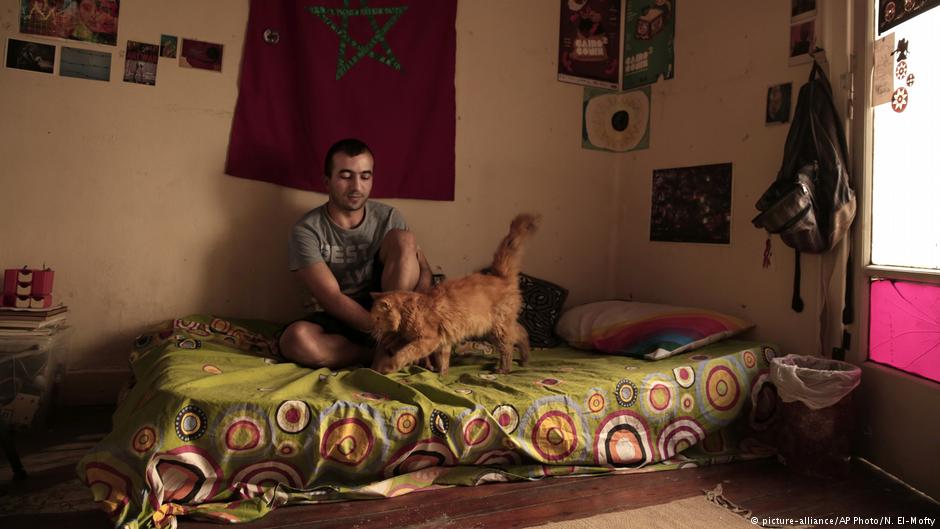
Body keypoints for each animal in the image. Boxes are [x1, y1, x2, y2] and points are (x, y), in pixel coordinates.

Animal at [370, 212, 540, 374]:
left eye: (377, 318)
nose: (372, 330)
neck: (409, 310)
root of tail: (500, 276)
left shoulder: (428, 340)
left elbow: (404, 354)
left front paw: (388, 366)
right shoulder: (443, 341)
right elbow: (443, 360)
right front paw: (441, 374)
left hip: (497, 329)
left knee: (509, 347)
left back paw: (504, 369)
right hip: (492, 329)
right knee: (522, 332)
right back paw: (525, 360)